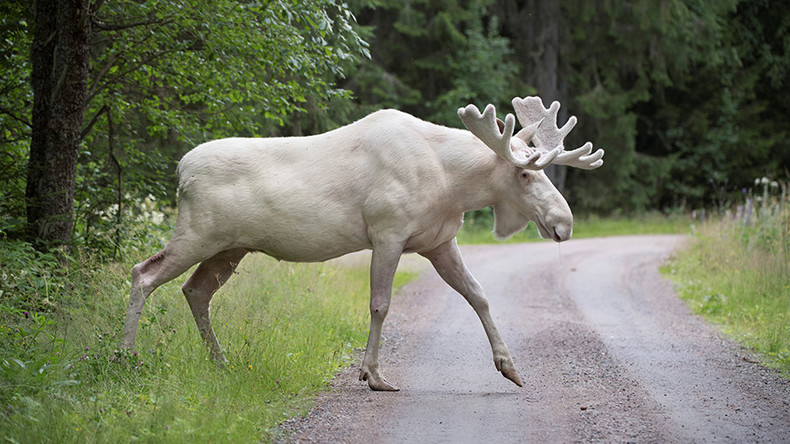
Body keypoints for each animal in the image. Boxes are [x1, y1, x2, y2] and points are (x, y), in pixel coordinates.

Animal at [122, 97, 608, 392]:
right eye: (525, 173)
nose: (564, 223)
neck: (452, 184)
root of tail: (180, 171)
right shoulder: (387, 233)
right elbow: (380, 304)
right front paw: (373, 375)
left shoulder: (439, 241)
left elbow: (479, 295)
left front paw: (509, 367)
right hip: (198, 233)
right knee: (143, 273)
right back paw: (125, 356)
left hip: (230, 247)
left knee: (195, 290)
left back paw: (219, 363)